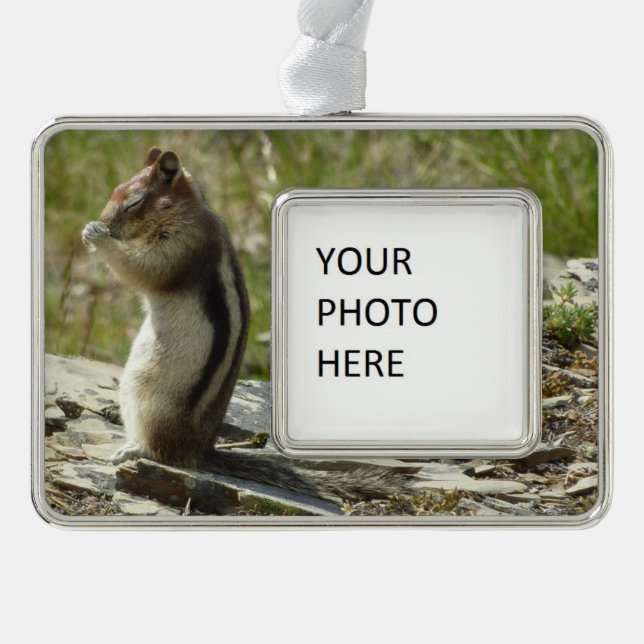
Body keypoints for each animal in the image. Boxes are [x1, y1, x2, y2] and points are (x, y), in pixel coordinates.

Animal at [82, 148, 412, 502]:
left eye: (133, 202)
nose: (103, 222)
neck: (185, 209)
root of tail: (200, 451)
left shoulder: (182, 242)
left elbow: (145, 267)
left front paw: (98, 237)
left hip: (146, 397)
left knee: (160, 451)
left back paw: (132, 450)